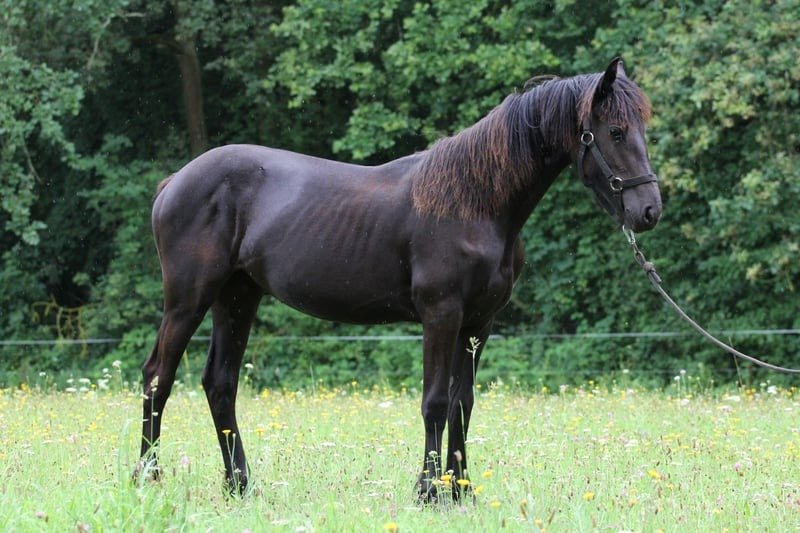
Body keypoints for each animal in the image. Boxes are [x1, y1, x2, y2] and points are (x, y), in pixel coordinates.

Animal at [136, 57, 662, 500]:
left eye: (641, 129)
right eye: (616, 132)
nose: (649, 211)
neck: (475, 202)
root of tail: (175, 182)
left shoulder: (479, 324)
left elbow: (462, 404)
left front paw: (461, 490)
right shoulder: (441, 315)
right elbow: (434, 402)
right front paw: (428, 491)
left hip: (237, 298)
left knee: (220, 384)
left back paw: (239, 485)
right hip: (188, 300)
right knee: (158, 377)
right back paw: (148, 476)